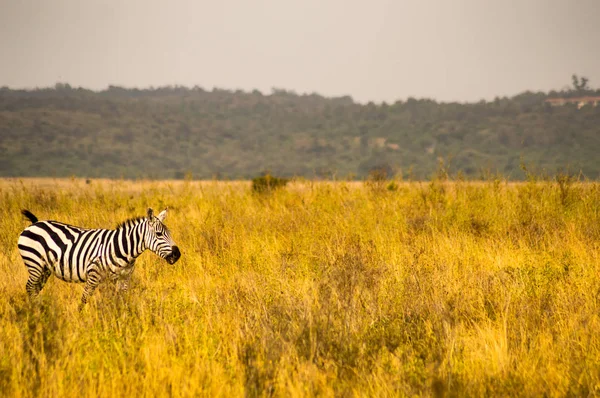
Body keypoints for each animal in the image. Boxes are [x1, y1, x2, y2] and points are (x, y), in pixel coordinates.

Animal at [18, 208, 180, 308]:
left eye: (170, 233)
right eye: (159, 234)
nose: (177, 254)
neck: (122, 249)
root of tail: (35, 223)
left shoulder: (124, 278)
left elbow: (122, 301)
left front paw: (124, 319)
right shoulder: (93, 275)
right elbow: (84, 299)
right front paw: (81, 318)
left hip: (44, 269)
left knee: (35, 289)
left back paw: (38, 308)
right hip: (34, 264)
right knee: (30, 287)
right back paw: (36, 311)